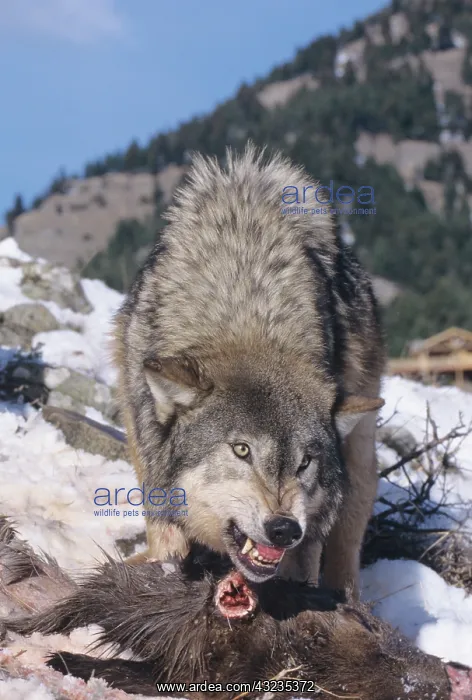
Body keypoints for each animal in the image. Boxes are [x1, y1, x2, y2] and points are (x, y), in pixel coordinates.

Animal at [113, 144, 385, 596]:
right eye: (242, 450)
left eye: (305, 462)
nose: (283, 529)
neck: (244, 313)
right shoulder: (146, 437)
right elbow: (166, 532)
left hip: (362, 449)